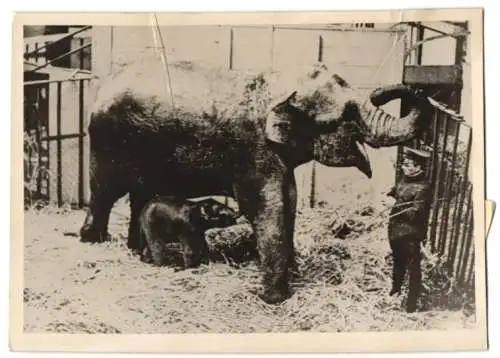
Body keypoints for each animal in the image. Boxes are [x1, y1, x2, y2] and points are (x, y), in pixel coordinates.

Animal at [80, 57, 432, 304]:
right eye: (347, 115)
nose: (379, 91)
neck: (279, 84)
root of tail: (103, 86)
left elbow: (289, 200)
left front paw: (293, 275)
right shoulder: (254, 152)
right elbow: (266, 206)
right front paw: (275, 299)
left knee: (140, 196)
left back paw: (134, 250)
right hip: (107, 143)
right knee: (104, 193)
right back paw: (92, 242)